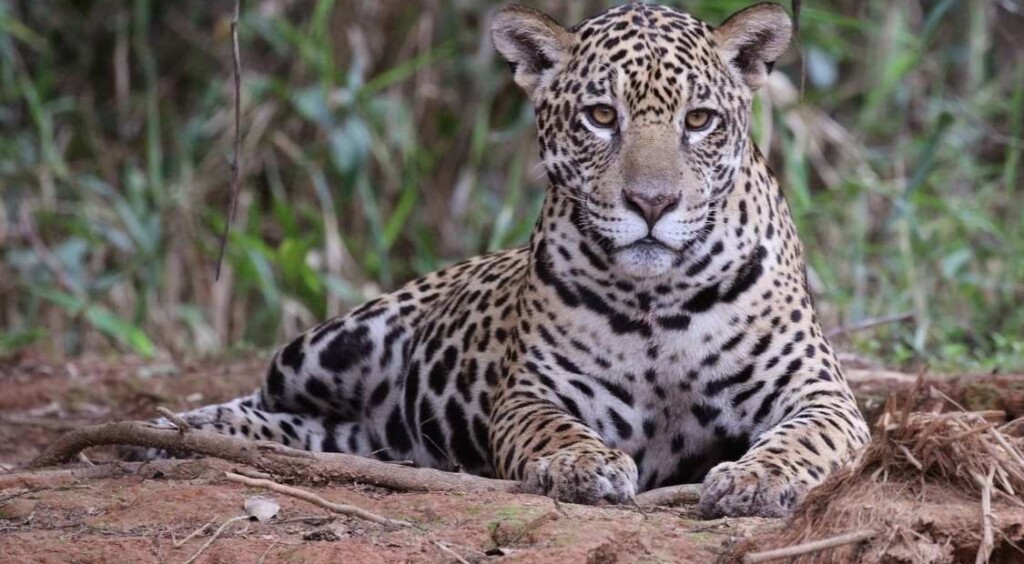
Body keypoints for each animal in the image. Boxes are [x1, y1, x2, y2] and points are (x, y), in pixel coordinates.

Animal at [144, 2, 870, 518]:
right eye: (600, 116)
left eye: (699, 121)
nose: (652, 202)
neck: (658, 297)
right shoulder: (535, 393)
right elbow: (553, 431)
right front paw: (584, 466)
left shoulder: (820, 392)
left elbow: (804, 439)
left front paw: (757, 479)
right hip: (330, 347)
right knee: (260, 398)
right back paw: (176, 429)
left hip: (359, 434)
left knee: (309, 431)